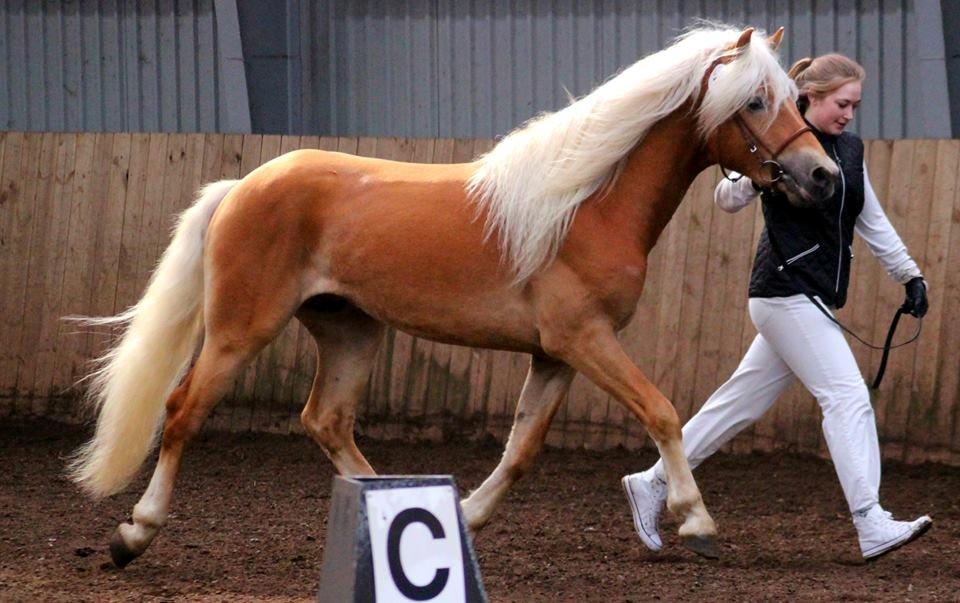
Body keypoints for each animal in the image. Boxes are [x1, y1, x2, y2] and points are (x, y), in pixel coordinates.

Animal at [69, 26, 832, 568]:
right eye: (755, 101)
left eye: (796, 100)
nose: (821, 175)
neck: (587, 205)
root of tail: (243, 187)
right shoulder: (585, 339)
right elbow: (663, 412)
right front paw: (696, 519)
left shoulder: (555, 356)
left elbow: (521, 448)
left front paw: (461, 519)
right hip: (240, 330)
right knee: (182, 412)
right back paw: (134, 533)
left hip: (350, 330)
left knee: (326, 420)